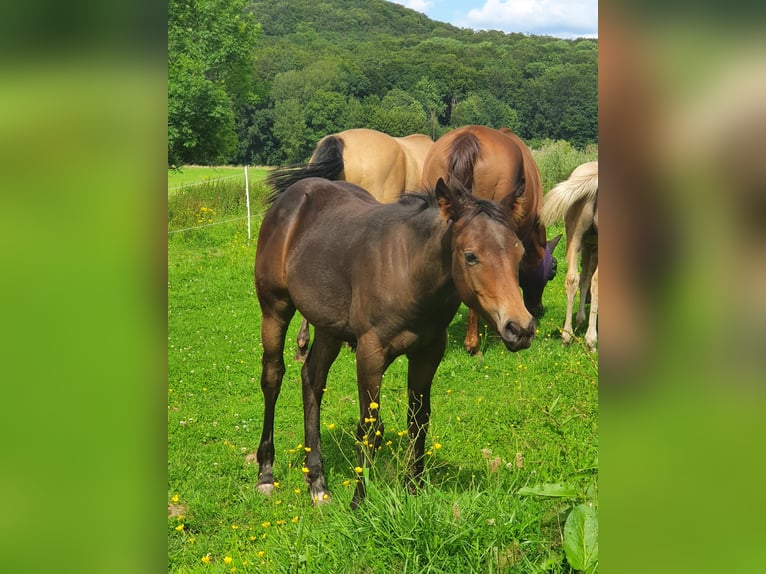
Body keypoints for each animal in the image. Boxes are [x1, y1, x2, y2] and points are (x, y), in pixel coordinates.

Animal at [255, 178, 536, 510]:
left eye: (519, 253)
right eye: (471, 255)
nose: (520, 328)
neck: (409, 273)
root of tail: (293, 195)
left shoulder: (428, 354)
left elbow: (419, 421)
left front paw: (413, 489)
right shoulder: (370, 354)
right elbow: (370, 428)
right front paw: (359, 502)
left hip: (327, 327)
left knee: (312, 379)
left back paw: (317, 482)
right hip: (275, 309)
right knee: (273, 377)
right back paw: (266, 474)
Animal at [540, 160, 600, 354]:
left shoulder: (589, 245)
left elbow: (584, 278)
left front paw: (581, 318)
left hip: (574, 237)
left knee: (572, 279)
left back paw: (567, 336)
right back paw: (591, 341)